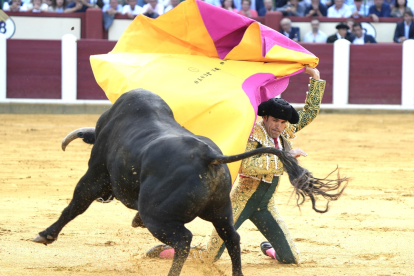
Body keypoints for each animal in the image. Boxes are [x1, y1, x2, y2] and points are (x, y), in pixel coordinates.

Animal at [34, 89, 348, 276]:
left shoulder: (95, 174)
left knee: (184, 239)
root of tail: (209, 157)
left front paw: (45, 235)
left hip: (157, 215)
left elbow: (75, 204)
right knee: (230, 238)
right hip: (222, 210)